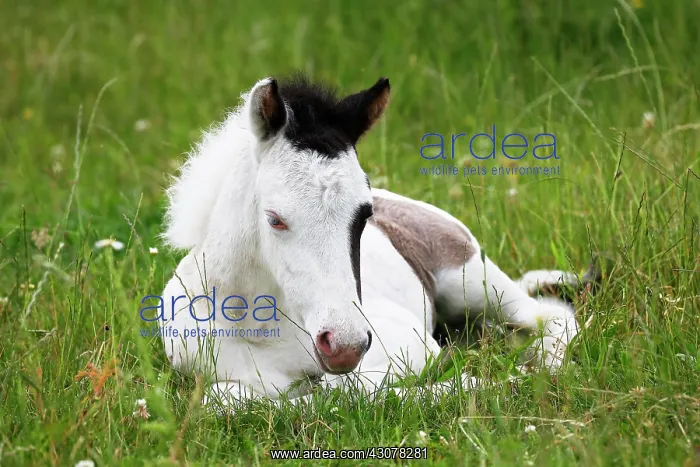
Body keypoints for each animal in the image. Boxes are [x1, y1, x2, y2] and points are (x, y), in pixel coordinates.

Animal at [158, 73, 591, 409]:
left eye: (365, 213)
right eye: (274, 219)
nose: (345, 345)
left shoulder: (411, 342)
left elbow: (345, 389)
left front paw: (482, 383)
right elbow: (224, 400)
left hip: (473, 283)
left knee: (549, 314)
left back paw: (543, 363)